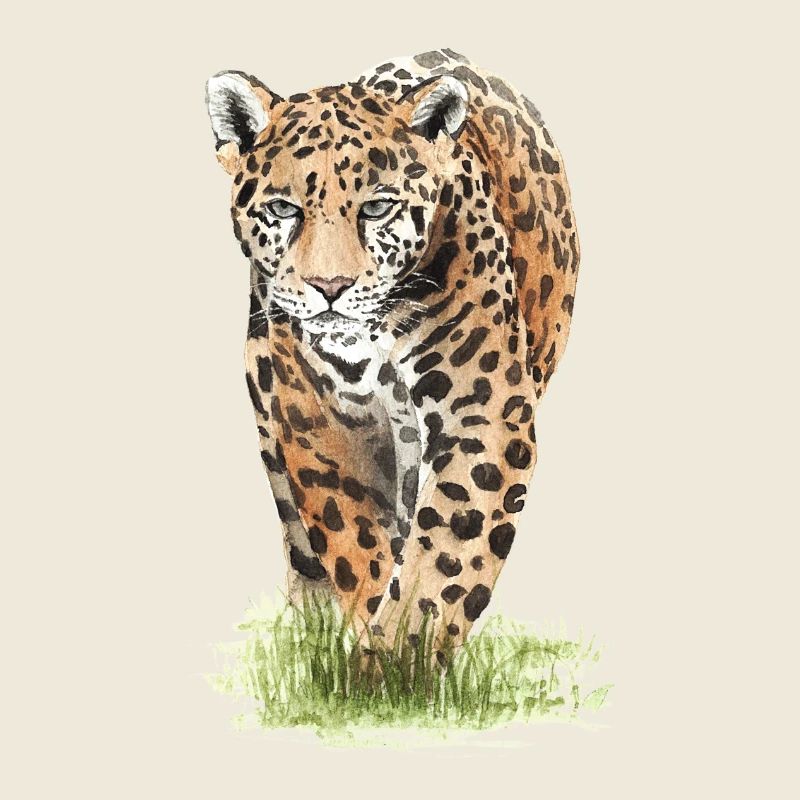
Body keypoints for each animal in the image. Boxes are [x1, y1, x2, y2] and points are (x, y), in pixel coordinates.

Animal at [204, 48, 580, 660]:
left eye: (378, 207)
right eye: (282, 209)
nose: (329, 287)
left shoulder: (482, 418)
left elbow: (445, 557)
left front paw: (402, 663)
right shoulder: (322, 421)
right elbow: (357, 544)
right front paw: (374, 654)